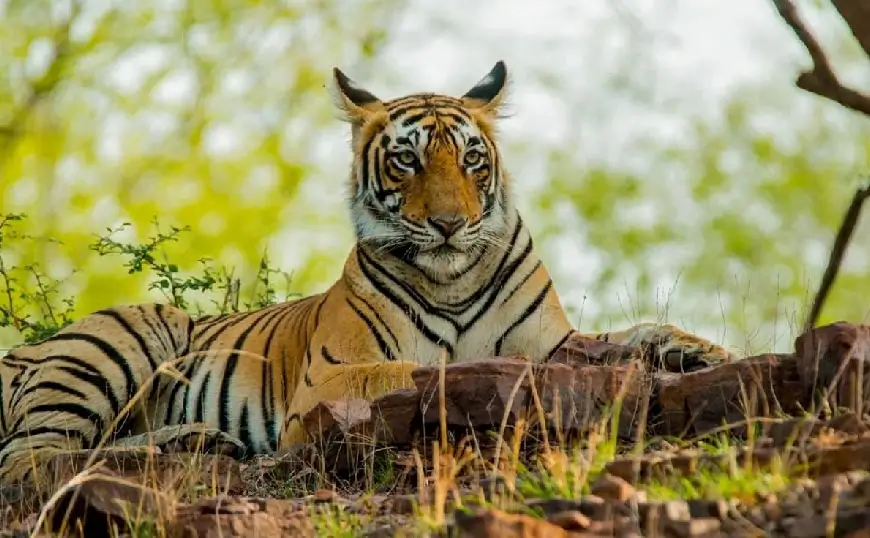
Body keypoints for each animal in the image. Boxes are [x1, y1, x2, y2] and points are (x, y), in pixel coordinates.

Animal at [0, 61, 736, 485]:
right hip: (118, 336)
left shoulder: (552, 339)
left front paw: (698, 353)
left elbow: (632, 334)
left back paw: (199, 442)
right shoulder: (332, 376)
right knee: (33, 460)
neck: (453, 275)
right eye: (407, 160)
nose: (450, 224)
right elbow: (427, 369)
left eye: (471, 159)